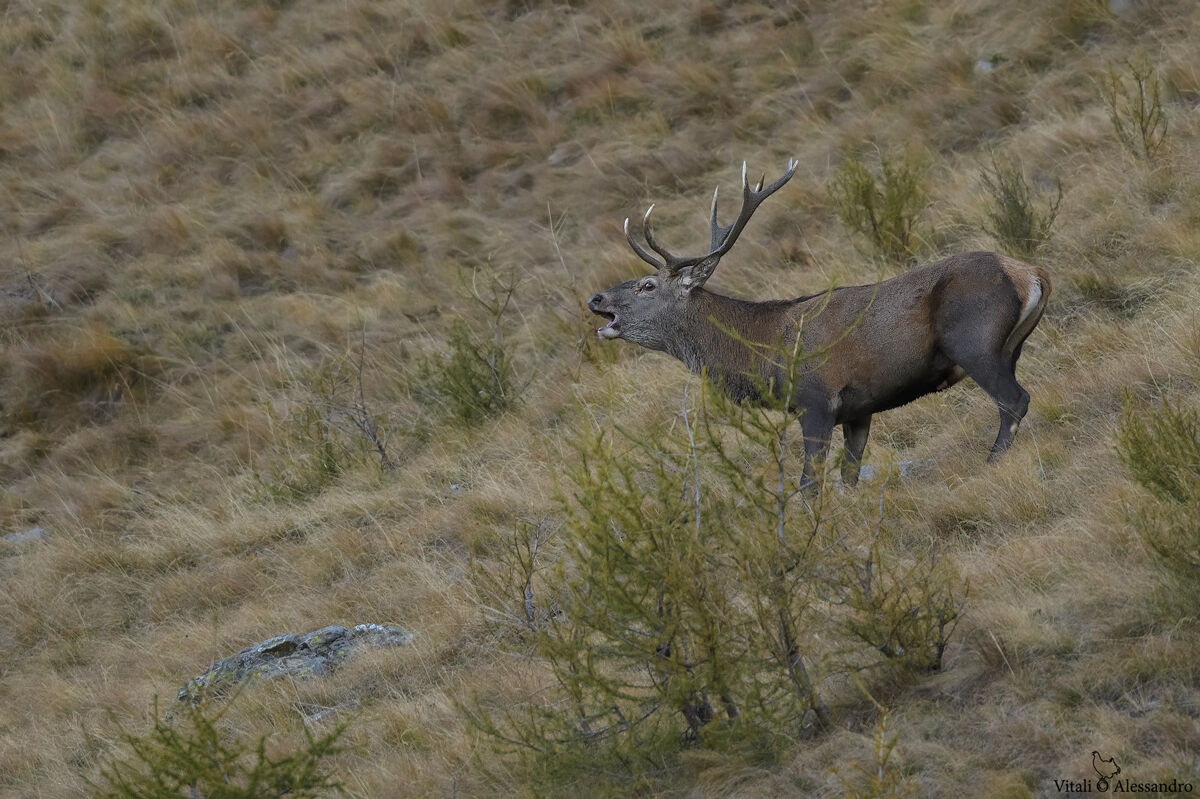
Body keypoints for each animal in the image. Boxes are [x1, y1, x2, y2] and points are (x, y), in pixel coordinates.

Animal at [587, 159, 1051, 490]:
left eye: (647, 285)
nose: (596, 299)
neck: (765, 356)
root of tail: (1032, 274)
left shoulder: (816, 401)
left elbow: (809, 484)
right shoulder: (859, 409)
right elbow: (849, 477)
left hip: (974, 342)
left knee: (1015, 399)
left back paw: (992, 463)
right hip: (1010, 347)